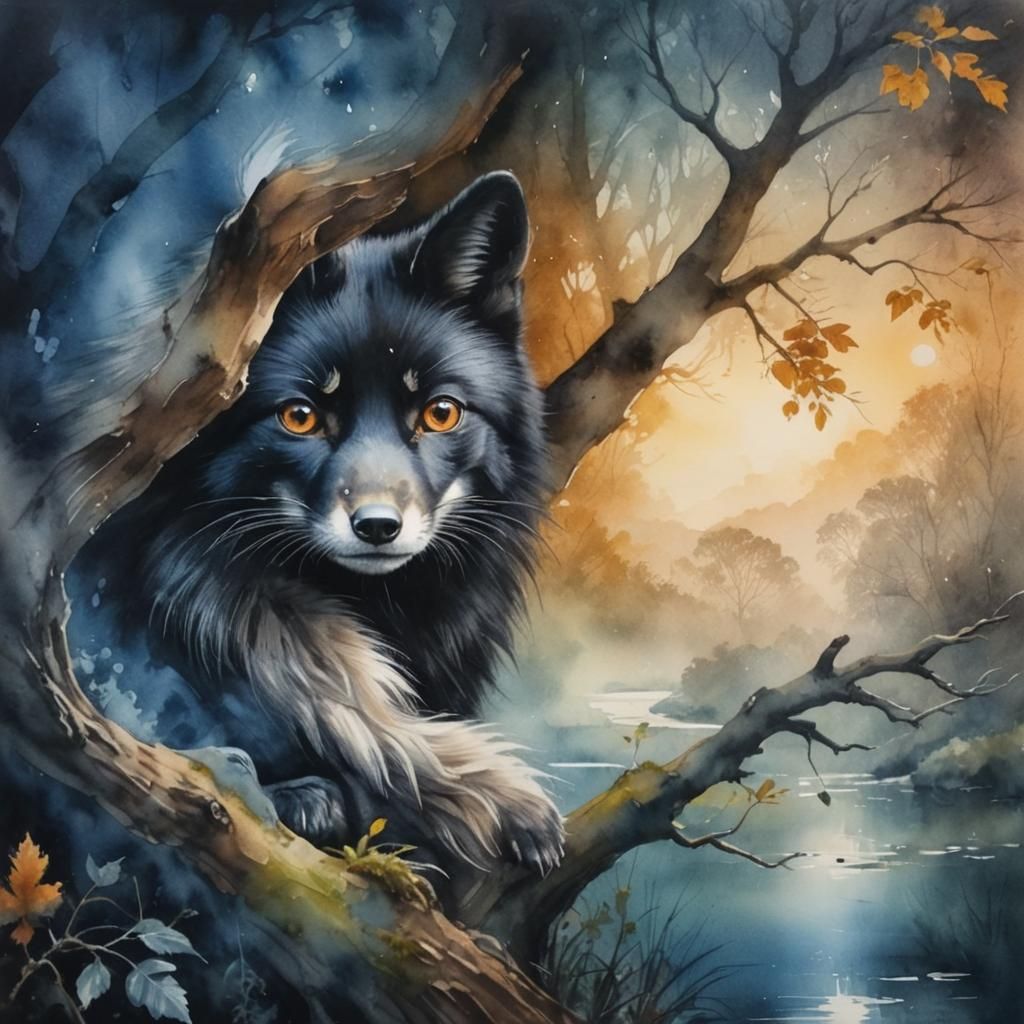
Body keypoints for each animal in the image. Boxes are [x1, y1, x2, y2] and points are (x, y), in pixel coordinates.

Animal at [83, 171, 564, 875]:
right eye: (300, 416)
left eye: (440, 412)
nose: (378, 526)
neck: (376, 602)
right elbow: (366, 715)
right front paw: (502, 802)